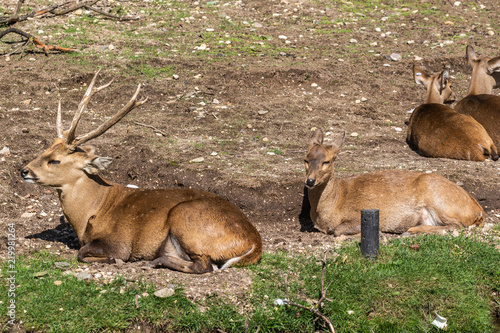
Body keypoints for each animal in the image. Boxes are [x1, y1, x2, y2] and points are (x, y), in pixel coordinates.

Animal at [19, 70, 262, 272]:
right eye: (45, 149)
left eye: (55, 161)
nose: (24, 170)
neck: (91, 210)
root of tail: (254, 242)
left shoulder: (119, 241)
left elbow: (84, 253)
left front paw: (113, 260)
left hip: (186, 219)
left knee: (204, 265)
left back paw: (155, 261)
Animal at [304, 128, 484, 235]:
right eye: (305, 159)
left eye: (326, 161)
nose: (310, 181)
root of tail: (478, 211)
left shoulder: (358, 215)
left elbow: (338, 230)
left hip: (439, 197)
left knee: (458, 225)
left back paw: (410, 230)